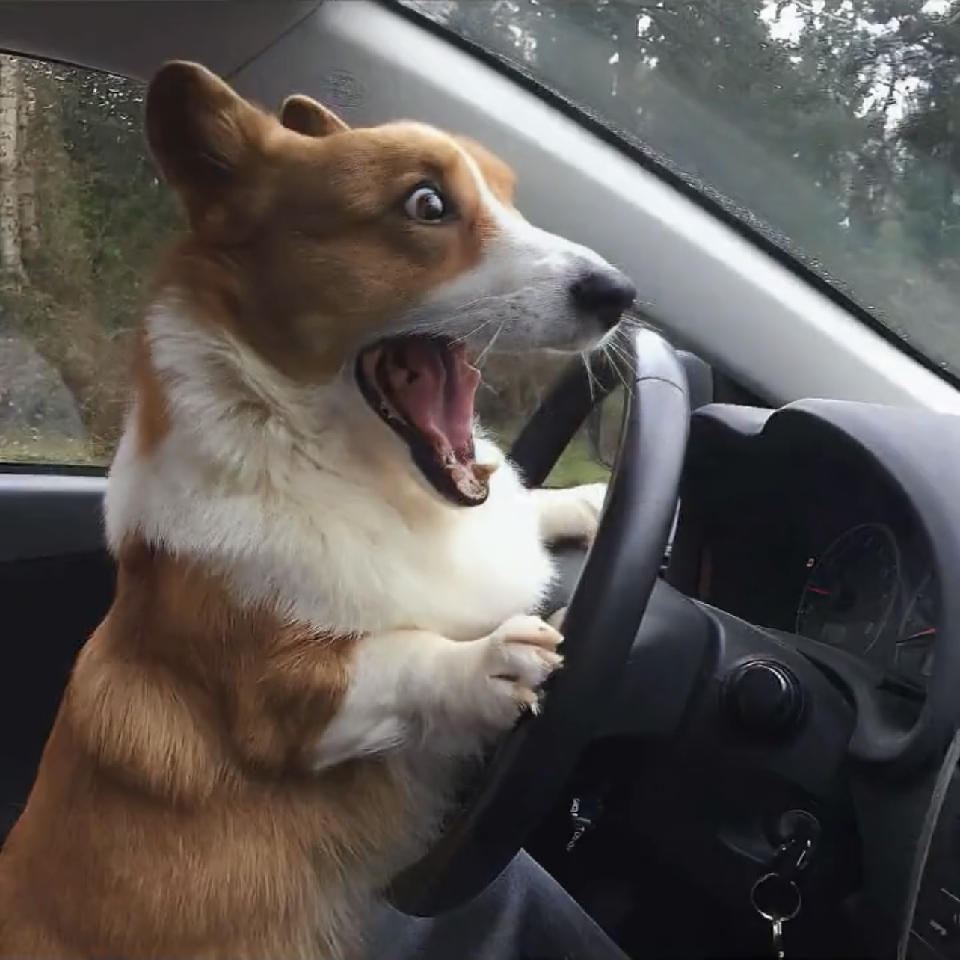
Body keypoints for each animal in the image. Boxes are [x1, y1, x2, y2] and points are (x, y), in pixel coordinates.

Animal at [0, 62, 636, 960]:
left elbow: (526, 508)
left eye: (511, 196)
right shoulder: (285, 705)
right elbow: (400, 660)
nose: (621, 293)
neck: (334, 465)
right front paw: (486, 662)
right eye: (427, 204)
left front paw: (587, 500)